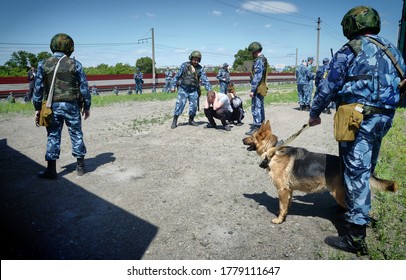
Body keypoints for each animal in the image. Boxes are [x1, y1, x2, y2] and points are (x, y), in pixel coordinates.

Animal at [243, 120, 398, 223]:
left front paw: (279, 219)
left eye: (251, 136)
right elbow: (286, 204)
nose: (242, 139)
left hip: (339, 194)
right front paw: (285, 214)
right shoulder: (289, 190)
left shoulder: (282, 189)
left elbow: (282, 206)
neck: (273, 151)